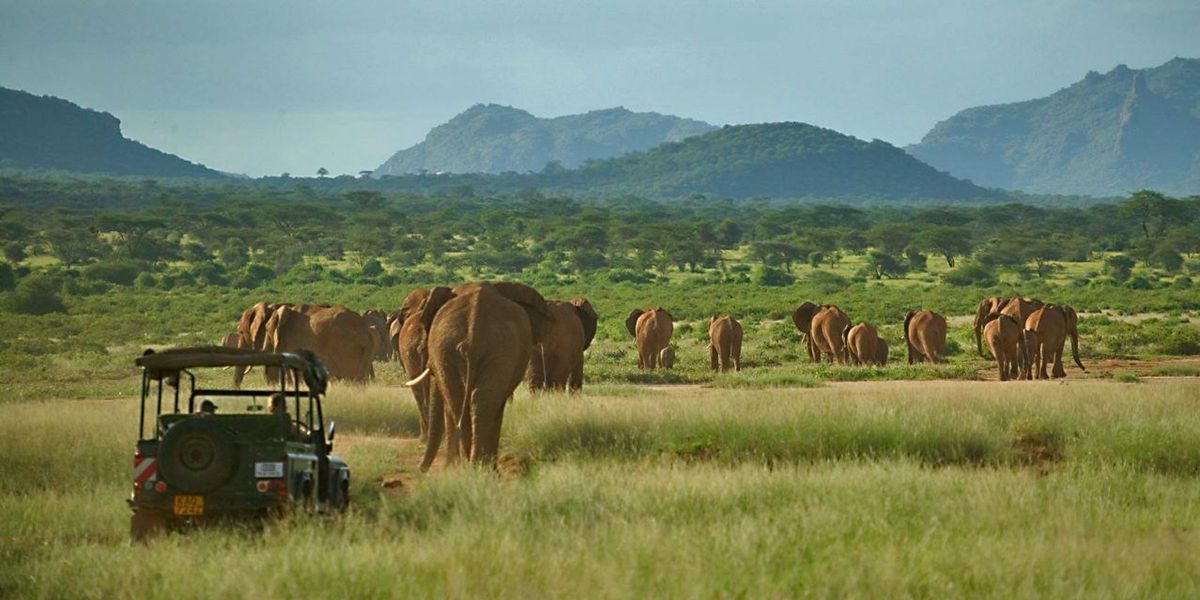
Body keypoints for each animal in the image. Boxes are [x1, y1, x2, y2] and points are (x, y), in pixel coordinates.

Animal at [412, 281, 554, 470]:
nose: (420, 469)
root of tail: (473, 334)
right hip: (458, 348)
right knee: (473, 402)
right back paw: (475, 467)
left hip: (484, 348)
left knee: (468, 402)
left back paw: (474, 467)